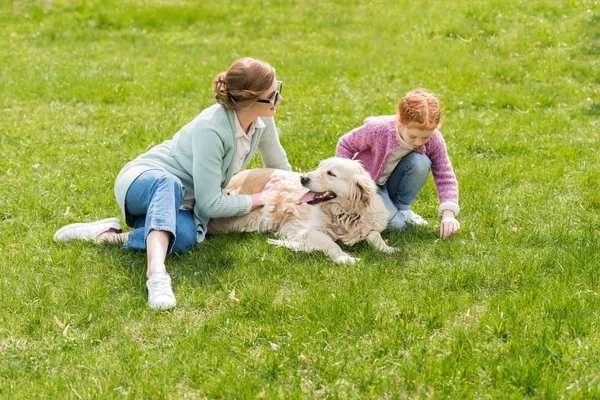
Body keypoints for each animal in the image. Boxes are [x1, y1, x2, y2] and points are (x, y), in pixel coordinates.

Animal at [207, 158, 398, 264]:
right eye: (319, 167)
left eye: (331, 173)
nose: (303, 178)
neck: (345, 213)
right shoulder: (309, 232)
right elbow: (332, 244)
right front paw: (345, 258)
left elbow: (374, 234)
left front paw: (387, 248)